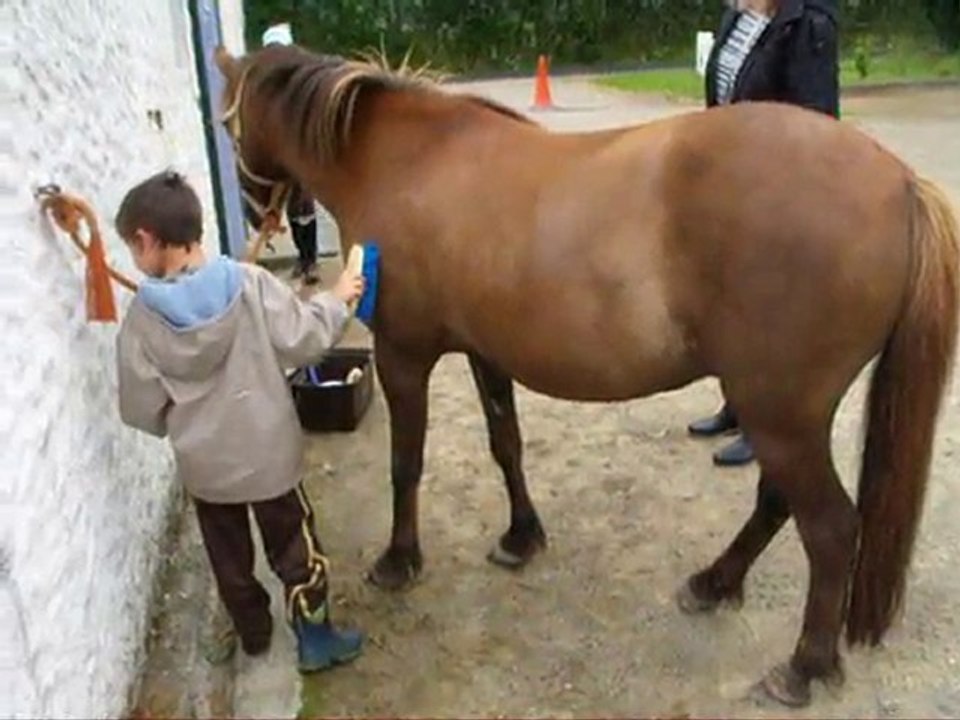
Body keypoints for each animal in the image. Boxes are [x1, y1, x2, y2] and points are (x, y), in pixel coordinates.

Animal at [214, 44, 959, 707]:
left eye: (226, 124)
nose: (254, 214)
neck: (406, 160)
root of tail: (900, 185)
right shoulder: (486, 352)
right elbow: (505, 445)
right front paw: (521, 537)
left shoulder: (403, 353)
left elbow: (407, 462)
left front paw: (400, 560)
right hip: (785, 415)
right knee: (779, 505)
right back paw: (715, 584)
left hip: (779, 415)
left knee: (829, 529)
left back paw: (802, 666)